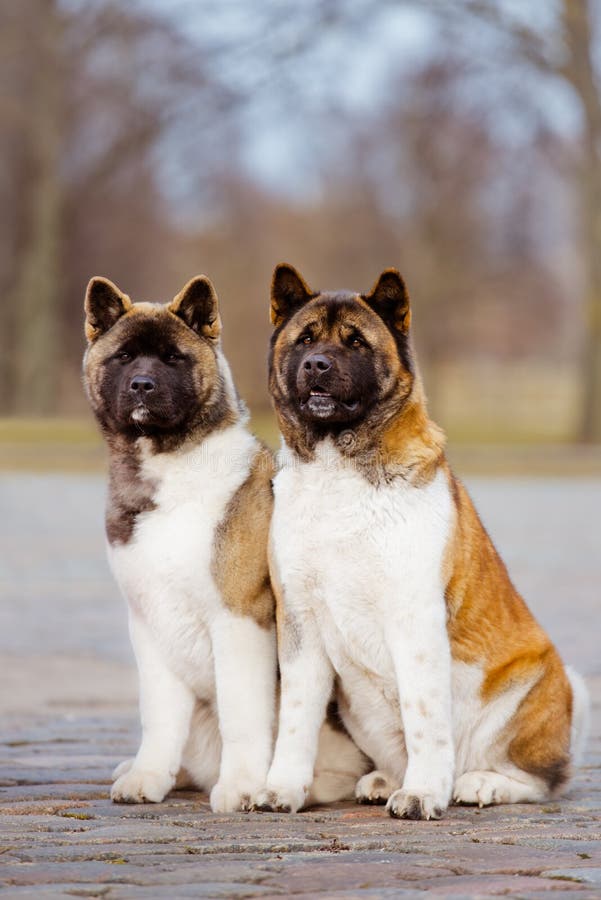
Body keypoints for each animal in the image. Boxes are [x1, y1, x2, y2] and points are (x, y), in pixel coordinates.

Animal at [83, 272, 366, 808]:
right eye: (124, 357)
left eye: (174, 358)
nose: (142, 385)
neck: (172, 468)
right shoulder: (150, 625)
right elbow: (159, 715)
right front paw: (149, 775)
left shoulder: (239, 619)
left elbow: (242, 713)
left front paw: (242, 787)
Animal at [255, 264, 588, 820]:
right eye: (305, 339)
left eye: (356, 342)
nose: (318, 364)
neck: (337, 467)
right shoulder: (299, 621)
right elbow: (297, 720)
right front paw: (282, 789)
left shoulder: (413, 619)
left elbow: (425, 717)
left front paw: (424, 794)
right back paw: (384, 780)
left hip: (529, 689)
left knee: (542, 780)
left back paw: (478, 784)